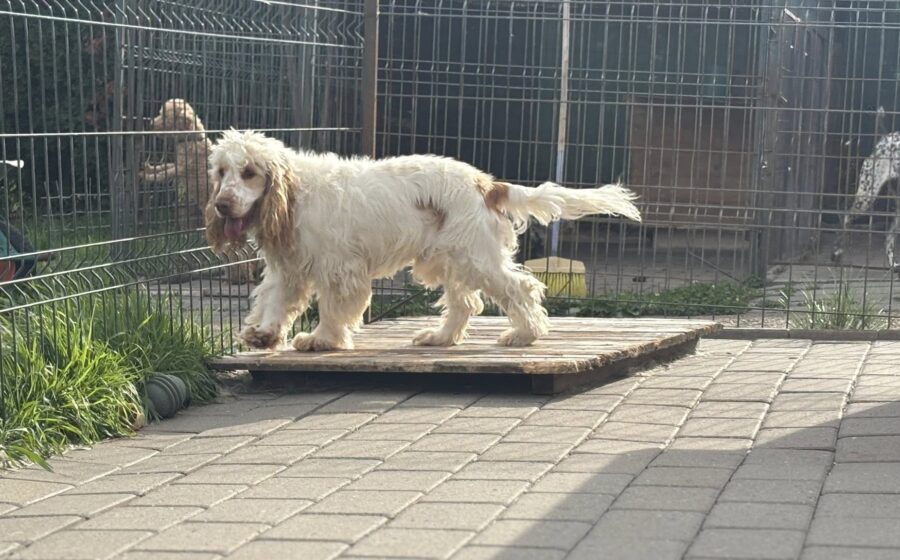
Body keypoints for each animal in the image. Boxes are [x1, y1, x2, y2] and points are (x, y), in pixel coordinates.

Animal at [141, 99, 261, 284]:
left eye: (165, 116)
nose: (151, 124)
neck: (191, 139)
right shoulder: (178, 165)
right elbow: (164, 167)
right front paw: (148, 169)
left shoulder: (182, 167)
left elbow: (164, 173)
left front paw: (148, 175)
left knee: (238, 254)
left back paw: (238, 277)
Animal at [205, 130, 642, 351]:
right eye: (222, 173)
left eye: (249, 172)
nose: (222, 205)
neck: (295, 195)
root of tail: (486, 183)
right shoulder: (289, 270)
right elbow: (275, 304)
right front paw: (264, 334)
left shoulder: (340, 270)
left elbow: (331, 310)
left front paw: (322, 340)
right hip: (451, 259)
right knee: (466, 304)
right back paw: (441, 337)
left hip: (474, 257)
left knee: (518, 288)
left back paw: (525, 334)